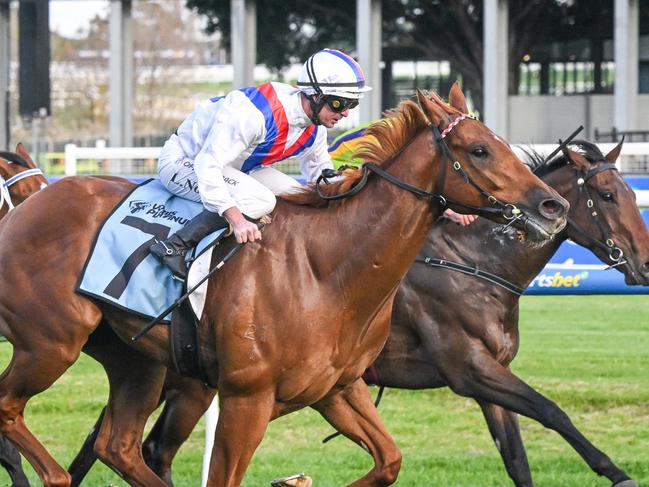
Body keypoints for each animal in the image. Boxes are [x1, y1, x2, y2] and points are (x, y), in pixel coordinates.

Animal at [0, 85, 568, 487]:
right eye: (479, 150)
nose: (552, 205)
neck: (327, 271)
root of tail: (25, 210)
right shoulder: (246, 399)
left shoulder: (337, 388)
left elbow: (389, 460)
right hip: (51, 343)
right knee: (12, 410)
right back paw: (52, 475)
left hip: (136, 360)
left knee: (116, 445)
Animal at [69, 139, 644, 486]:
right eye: (608, 194)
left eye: (629, 192)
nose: (642, 262)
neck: (477, 264)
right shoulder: (470, 369)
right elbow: (552, 410)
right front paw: (616, 471)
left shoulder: (487, 378)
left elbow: (517, 455)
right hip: (192, 383)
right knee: (144, 446)